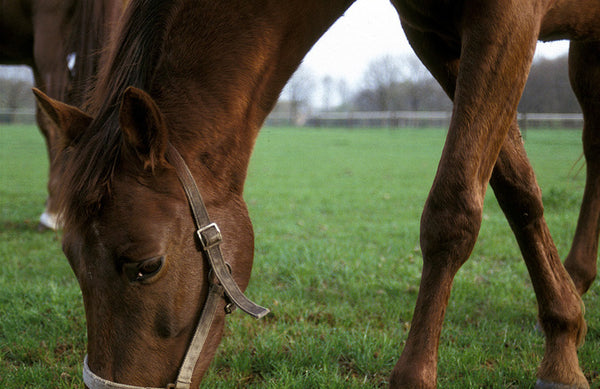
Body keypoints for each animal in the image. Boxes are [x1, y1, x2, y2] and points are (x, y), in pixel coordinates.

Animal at [35, 0, 596, 386]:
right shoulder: (434, 36)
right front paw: (564, 339)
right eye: (71, 261)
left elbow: (453, 209)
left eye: (146, 266)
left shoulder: (506, 18)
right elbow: (517, 188)